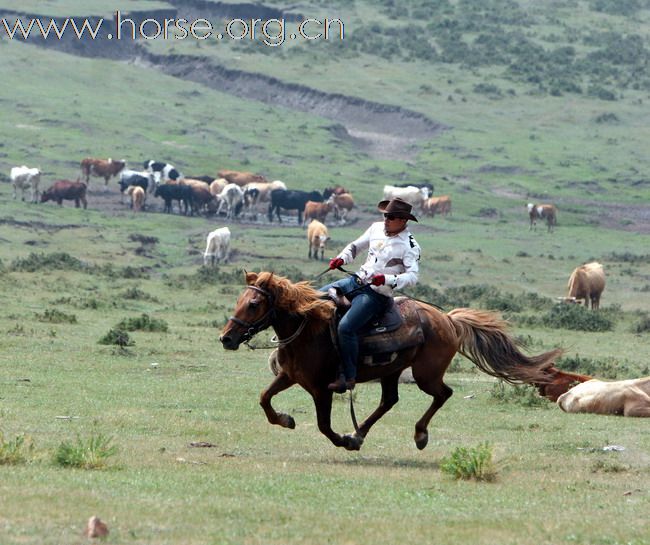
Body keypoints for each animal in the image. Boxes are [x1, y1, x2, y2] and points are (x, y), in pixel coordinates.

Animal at [219, 272, 560, 450]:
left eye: (253, 304)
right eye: (239, 301)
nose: (226, 338)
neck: (308, 327)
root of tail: (448, 320)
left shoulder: (321, 389)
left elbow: (324, 426)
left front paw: (342, 440)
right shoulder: (289, 376)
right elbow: (264, 399)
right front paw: (285, 419)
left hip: (425, 374)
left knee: (443, 394)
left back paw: (417, 435)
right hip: (391, 371)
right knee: (389, 400)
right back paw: (359, 433)